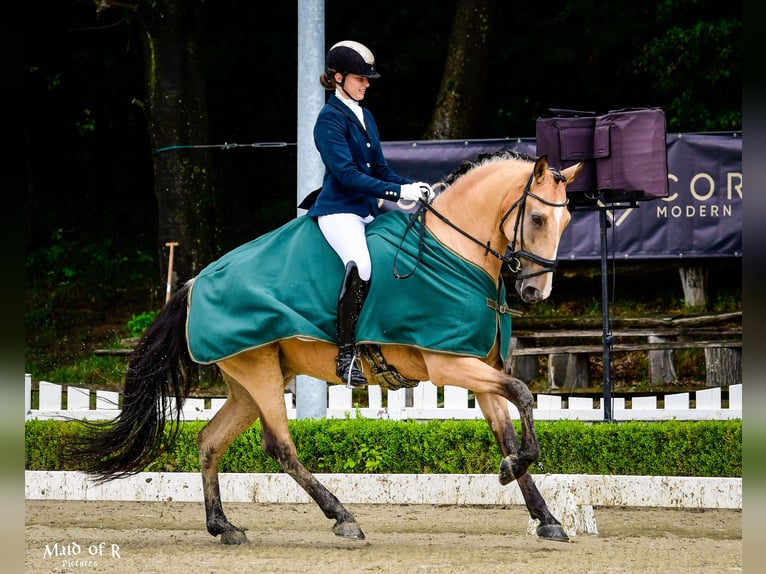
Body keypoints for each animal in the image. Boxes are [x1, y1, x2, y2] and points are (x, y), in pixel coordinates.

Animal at [69, 153, 584, 548]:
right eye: (538, 218)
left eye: (566, 221)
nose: (536, 291)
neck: (455, 252)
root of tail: (194, 283)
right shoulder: (449, 363)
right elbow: (524, 393)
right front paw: (514, 472)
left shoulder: (478, 365)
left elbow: (507, 426)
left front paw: (544, 515)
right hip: (258, 372)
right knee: (280, 447)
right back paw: (342, 517)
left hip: (249, 381)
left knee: (210, 441)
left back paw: (224, 527)